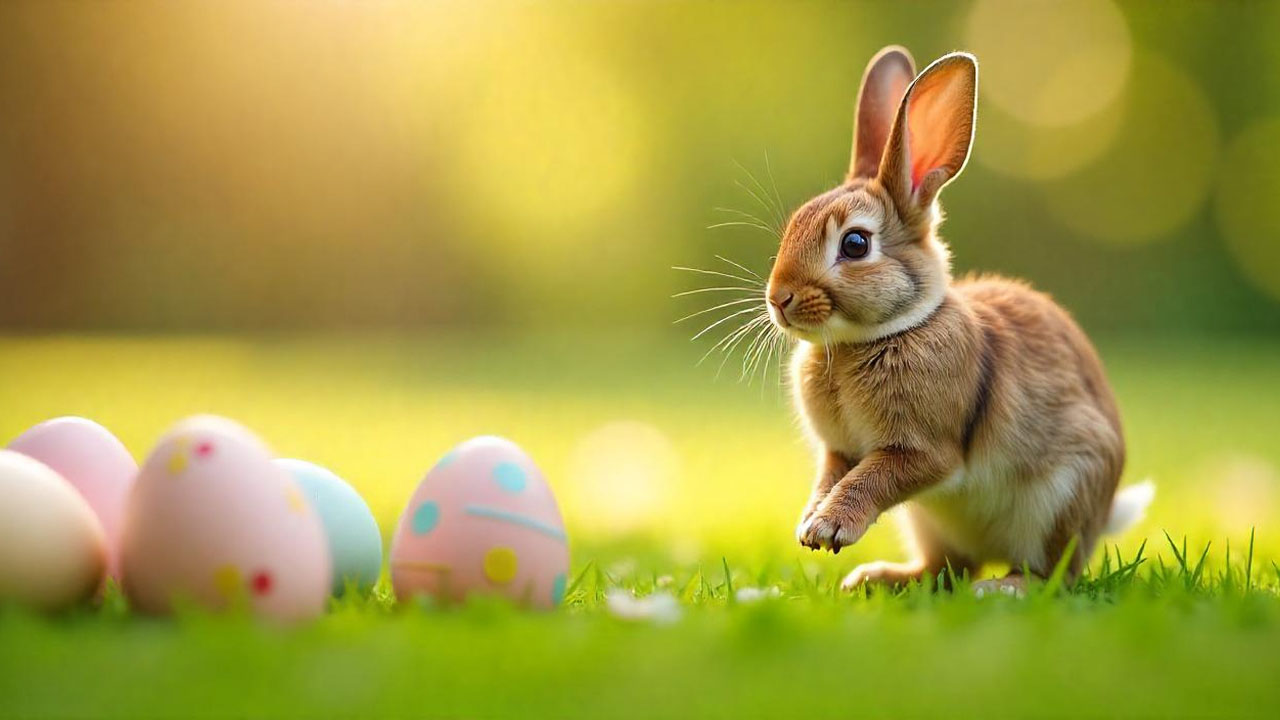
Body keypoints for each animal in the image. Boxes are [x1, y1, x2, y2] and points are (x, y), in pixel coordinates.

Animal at [762, 47, 1157, 591]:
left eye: (856, 244)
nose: (778, 298)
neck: (878, 334)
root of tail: (1102, 519)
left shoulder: (926, 451)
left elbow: (873, 478)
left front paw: (828, 527)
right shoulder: (838, 450)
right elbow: (832, 476)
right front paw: (809, 524)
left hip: (1061, 497)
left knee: (1051, 574)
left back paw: (1003, 588)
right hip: (928, 522)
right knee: (948, 569)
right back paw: (878, 578)